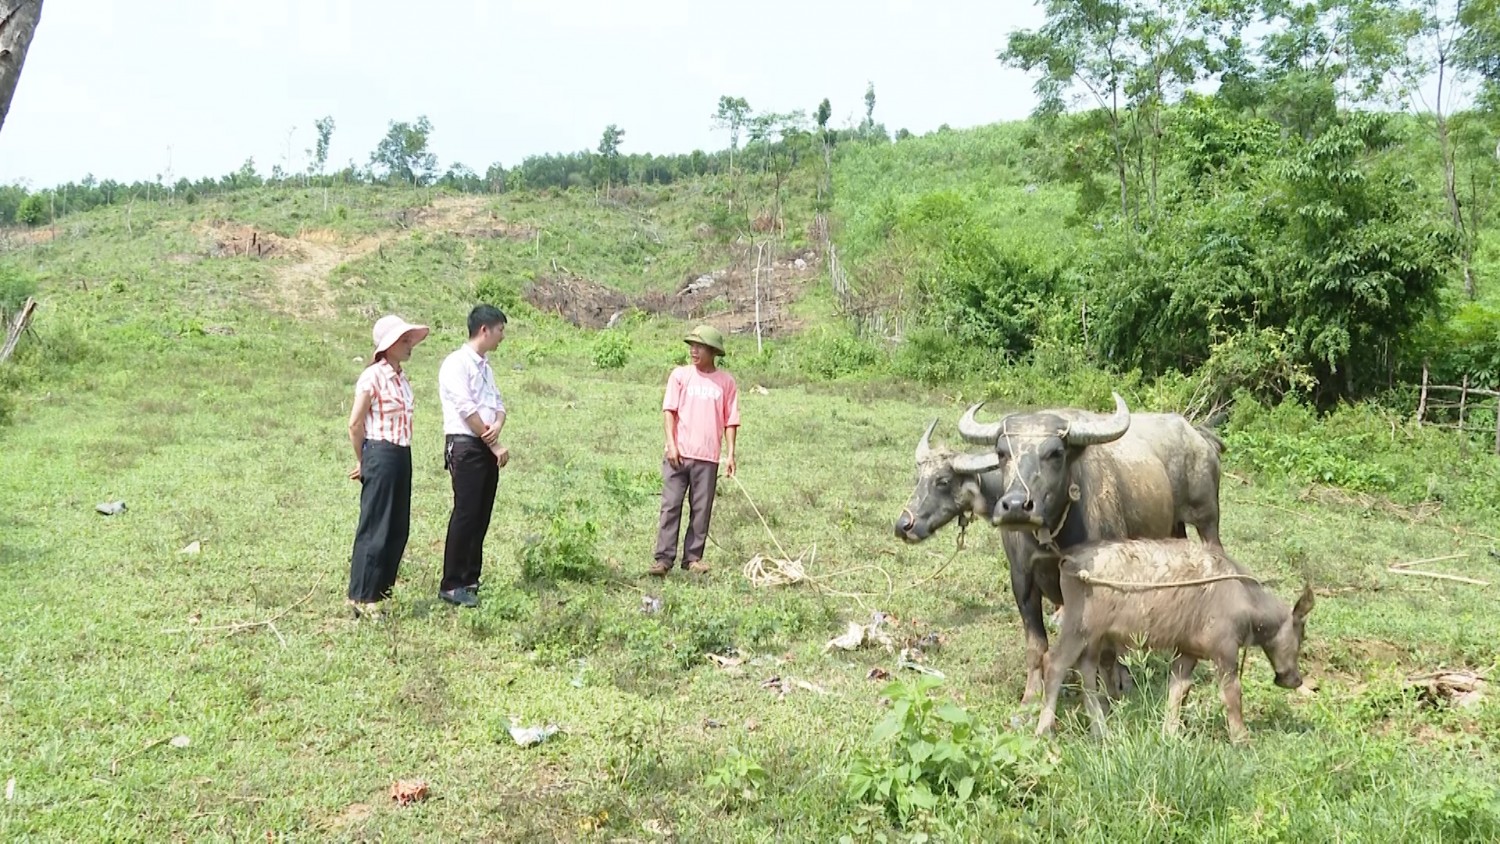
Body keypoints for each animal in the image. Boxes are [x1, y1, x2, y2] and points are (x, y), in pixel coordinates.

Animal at [894, 395, 1224, 707]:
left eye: (943, 481)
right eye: (1002, 453)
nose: (903, 525)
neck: (1053, 535)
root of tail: (1198, 436)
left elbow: (1105, 648)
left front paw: (1113, 690)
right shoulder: (1023, 579)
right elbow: (1037, 645)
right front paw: (1030, 699)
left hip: (1207, 520)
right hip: (1174, 528)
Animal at [1032, 539, 1314, 743]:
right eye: (1302, 634)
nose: (1294, 679)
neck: (1245, 601)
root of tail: (1070, 560)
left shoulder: (1186, 652)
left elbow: (1178, 692)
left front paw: (1170, 734)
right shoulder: (1224, 652)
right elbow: (1232, 695)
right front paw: (1242, 739)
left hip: (1094, 637)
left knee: (1087, 671)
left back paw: (1101, 732)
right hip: (1078, 628)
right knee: (1054, 662)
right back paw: (1044, 730)